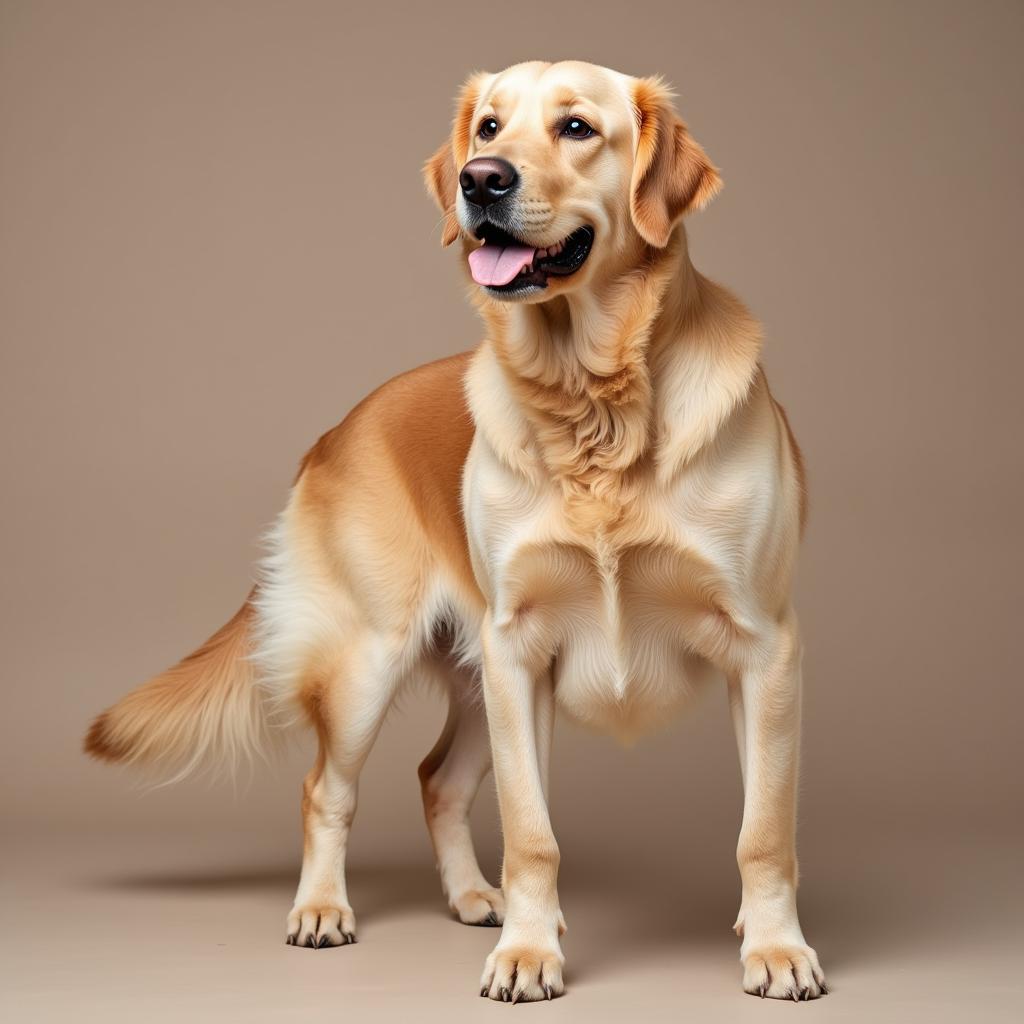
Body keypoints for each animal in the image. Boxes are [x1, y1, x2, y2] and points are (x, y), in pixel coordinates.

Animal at [83, 61, 827, 999]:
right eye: (488, 129)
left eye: (577, 128)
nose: (481, 181)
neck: (593, 408)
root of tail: (340, 426)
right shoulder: (520, 653)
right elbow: (532, 832)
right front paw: (529, 953)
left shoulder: (765, 652)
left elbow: (763, 831)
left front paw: (774, 948)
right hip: (375, 660)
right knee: (326, 789)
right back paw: (324, 909)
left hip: (476, 683)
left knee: (436, 780)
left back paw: (474, 897)